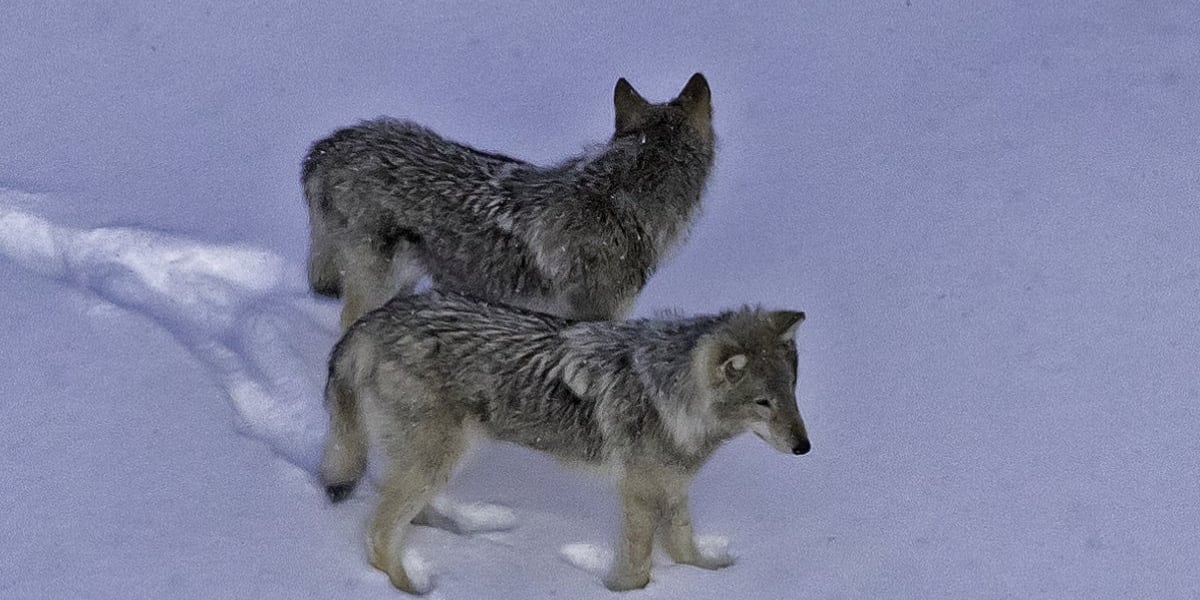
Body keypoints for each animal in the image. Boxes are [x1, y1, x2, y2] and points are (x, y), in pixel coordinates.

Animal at [319, 291, 809, 593]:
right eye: (763, 403)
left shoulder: (673, 487)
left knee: (403, 512)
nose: (805, 448)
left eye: (791, 392)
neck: (669, 394)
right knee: (379, 534)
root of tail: (371, 320)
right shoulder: (639, 493)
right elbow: (639, 566)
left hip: (437, 461)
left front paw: (713, 577)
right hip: (436, 459)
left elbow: (685, 545)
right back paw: (408, 589)